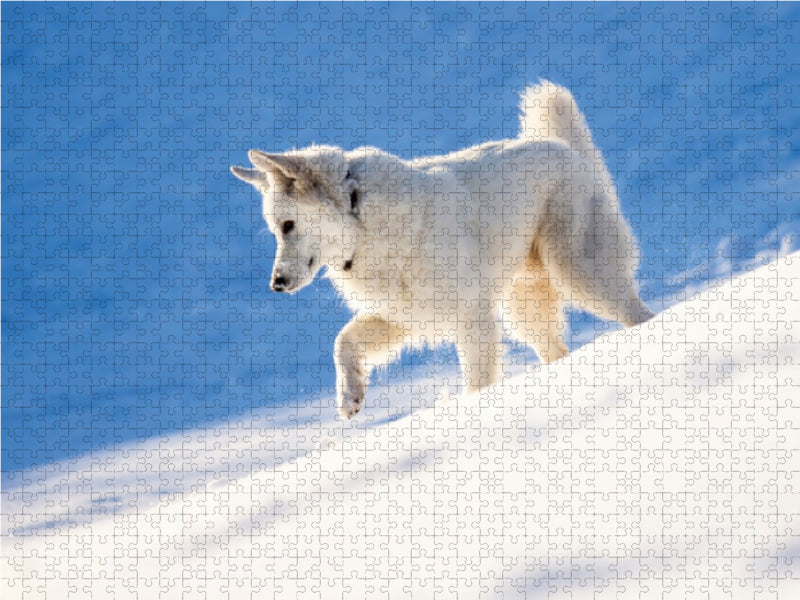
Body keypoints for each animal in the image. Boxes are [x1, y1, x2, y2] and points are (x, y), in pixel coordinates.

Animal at [231, 81, 654, 419]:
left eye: (287, 225)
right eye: (276, 229)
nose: (276, 284)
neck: (361, 217)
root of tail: (569, 151)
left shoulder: (471, 318)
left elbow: (478, 382)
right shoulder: (405, 316)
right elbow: (343, 342)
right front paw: (350, 397)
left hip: (578, 274)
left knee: (638, 315)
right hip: (524, 308)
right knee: (558, 351)